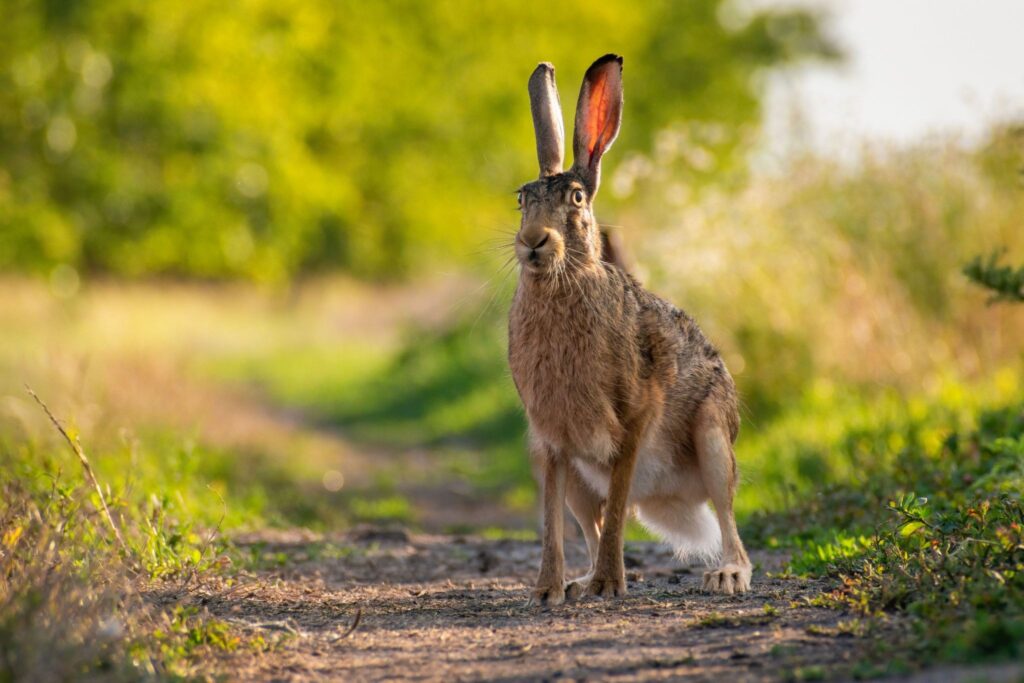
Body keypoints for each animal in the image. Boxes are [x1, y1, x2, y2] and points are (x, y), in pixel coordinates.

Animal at [508, 54, 751, 606]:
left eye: (577, 198)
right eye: (521, 199)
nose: (533, 241)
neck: (565, 280)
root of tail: (666, 497)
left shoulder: (634, 418)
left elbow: (618, 507)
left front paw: (608, 585)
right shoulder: (550, 441)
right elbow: (553, 522)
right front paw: (546, 591)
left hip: (712, 438)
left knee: (727, 519)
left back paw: (726, 575)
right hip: (582, 481)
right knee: (589, 523)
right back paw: (576, 584)